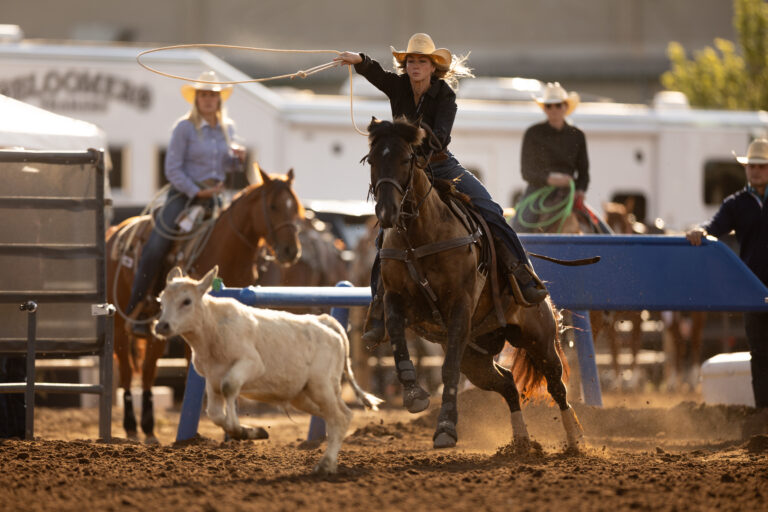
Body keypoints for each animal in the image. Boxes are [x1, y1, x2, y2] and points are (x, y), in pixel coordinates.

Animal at [153, 265, 383, 475]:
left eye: (186, 301)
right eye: (161, 300)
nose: (161, 326)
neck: (212, 327)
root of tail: (326, 323)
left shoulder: (251, 364)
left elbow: (230, 387)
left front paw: (239, 430)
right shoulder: (211, 378)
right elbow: (215, 413)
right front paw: (252, 432)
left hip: (322, 386)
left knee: (339, 417)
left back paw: (326, 464)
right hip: (303, 394)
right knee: (338, 416)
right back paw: (330, 461)